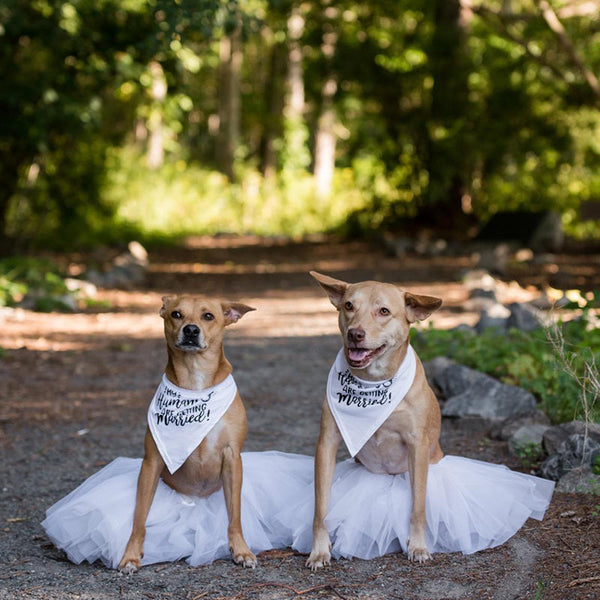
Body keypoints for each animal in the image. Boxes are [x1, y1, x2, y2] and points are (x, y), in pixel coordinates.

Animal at [118, 294, 256, 572]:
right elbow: (139, 516)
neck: (195, 381)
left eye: (208, 316)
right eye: (176, 314)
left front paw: (241, 550)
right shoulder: (151, 461)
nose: (191, 330)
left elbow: (235, 515)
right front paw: (131, 555)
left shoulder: (232, 457)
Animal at [308, 270, 442, 568]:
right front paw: (319, 550)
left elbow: (418, 506)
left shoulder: (417, 446)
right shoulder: (326, 444)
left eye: (384, 311)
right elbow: (321, 508)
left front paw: (418, 546)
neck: (373, 383)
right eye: (349, 306)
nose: (355, 334)